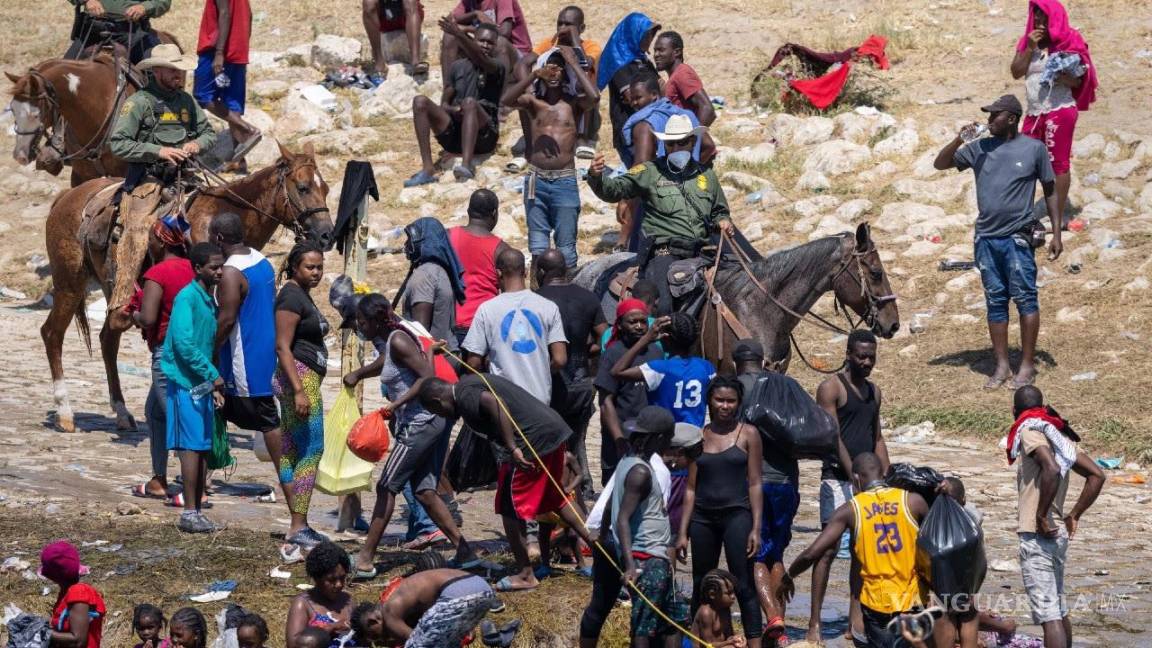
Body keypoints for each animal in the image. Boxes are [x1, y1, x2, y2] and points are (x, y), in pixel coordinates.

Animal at [43, 143, 334, 431]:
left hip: (109, 288)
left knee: (108, 339)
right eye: (303, 187)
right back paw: (65, 411)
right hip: (70, 284)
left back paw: (122, 412)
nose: (327, 236)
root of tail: (65, 197)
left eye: (327, 189)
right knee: (52, 334)